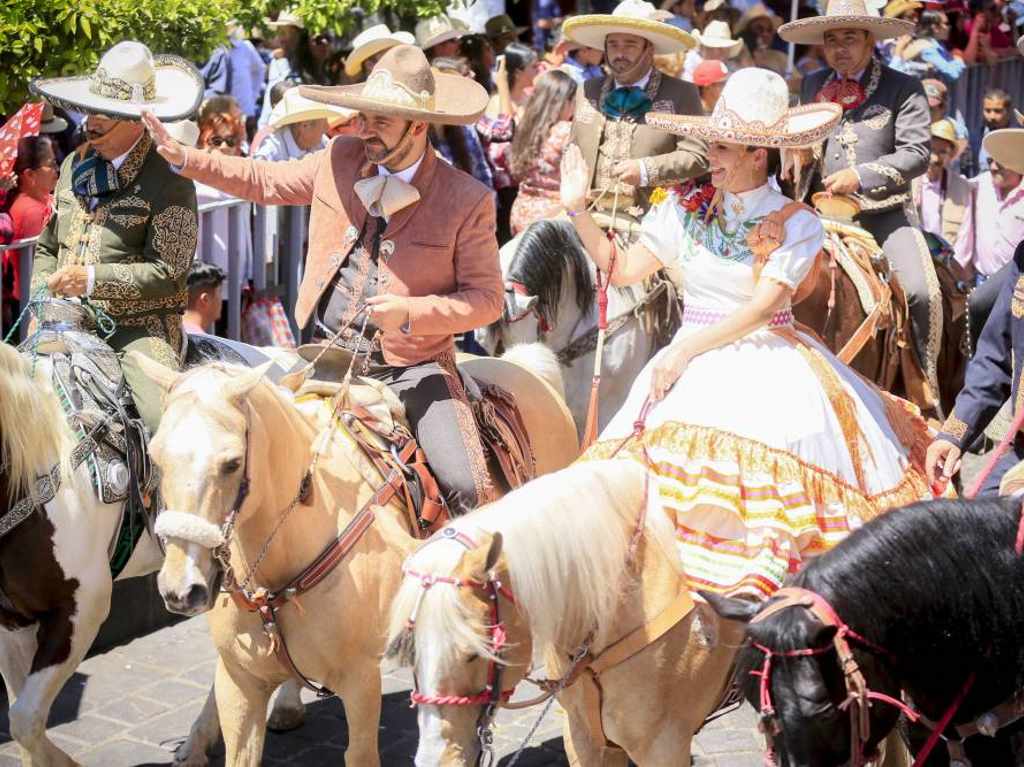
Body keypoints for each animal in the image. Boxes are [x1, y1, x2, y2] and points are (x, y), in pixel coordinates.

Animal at [138, 344, 577, 761]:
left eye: (232, 463)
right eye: (156, 456)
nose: (182, 589)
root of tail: (524, 367)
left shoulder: (361, 681)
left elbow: (361, 753)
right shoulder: (239, 683)